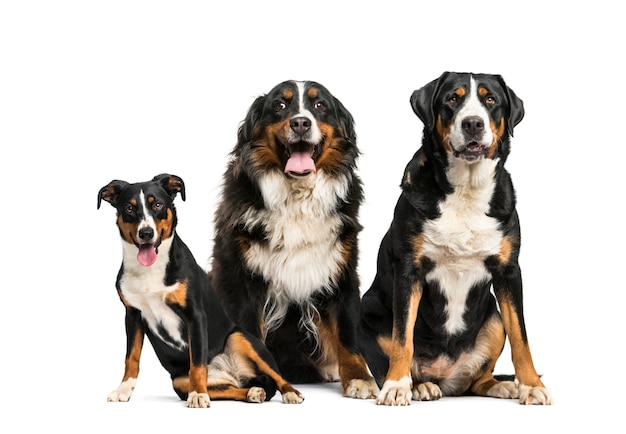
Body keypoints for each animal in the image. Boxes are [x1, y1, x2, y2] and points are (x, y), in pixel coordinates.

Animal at [96, 173, 304, 406]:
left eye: (157, 204)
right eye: (129, 208)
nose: (146, 233)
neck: (150, 270)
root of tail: (229, 372)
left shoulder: (194, 315)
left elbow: (197, 363)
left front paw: (198, 395)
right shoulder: (133, 315)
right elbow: (131, 358)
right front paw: (123, 389)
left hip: (241, 339)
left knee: (276, 375)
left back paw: (291, 393)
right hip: (180, 382)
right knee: (232, 389)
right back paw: (252, 392)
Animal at [210, 81, 378, 400]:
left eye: (319, 105)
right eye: (280, 105)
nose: (301, 123)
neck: (297, 199)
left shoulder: (341, 271)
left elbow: (347, 334)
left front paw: (359, 378)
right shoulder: (242, 280)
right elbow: (252, 339)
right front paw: (260, 382)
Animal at [356, 72, 552, 406]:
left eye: (490, 99)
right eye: (452, 99)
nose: (473, 123)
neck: (466, 191)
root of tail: (446, 378)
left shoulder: (508, 270)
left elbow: (521, 336)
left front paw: (531, 385)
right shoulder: (409, 272)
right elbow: (402, 338)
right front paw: (397, 387)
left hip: (493, 319)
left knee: (478, 379)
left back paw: (501, 386)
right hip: (367, 311)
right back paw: (418, 386)